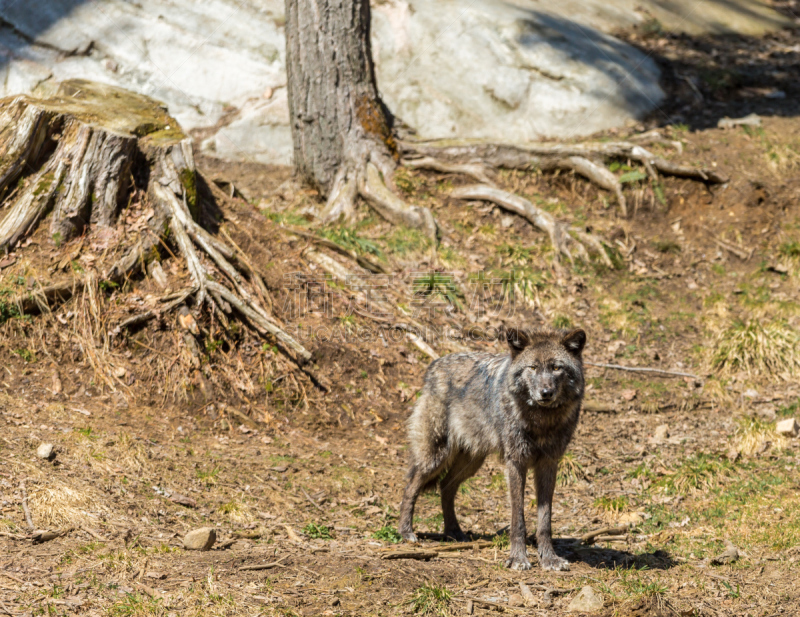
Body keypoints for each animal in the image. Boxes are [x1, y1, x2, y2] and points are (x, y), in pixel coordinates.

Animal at [396, 324, 584, 572]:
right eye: (533, 367)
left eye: (556, 368)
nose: (546, 393)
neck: (541, 421)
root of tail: (434, 365)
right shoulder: (515, 463)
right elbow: (518, 519)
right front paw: (518, 558)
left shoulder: (548, 464)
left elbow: (545, 521)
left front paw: (549, 559)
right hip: (435, 457)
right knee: (411, 486)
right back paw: (406, 532)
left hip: (471, 462)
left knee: (446, 487)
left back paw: (454, 532)